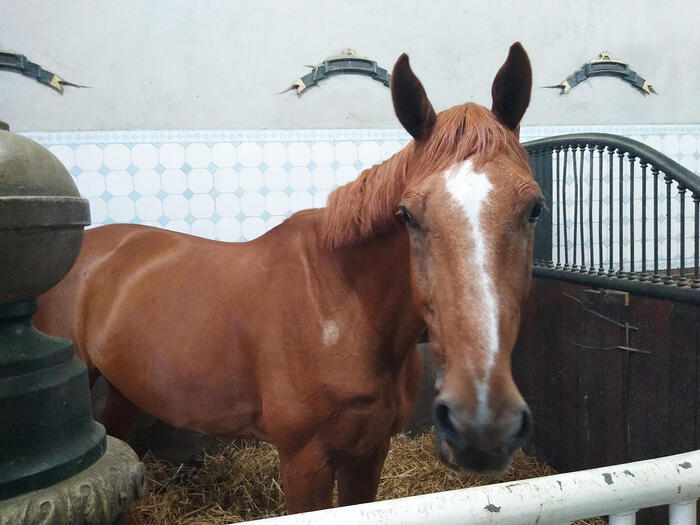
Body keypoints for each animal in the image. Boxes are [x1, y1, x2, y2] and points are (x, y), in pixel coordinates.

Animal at [35, 42, 541, 513]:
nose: (482, 424)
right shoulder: (305, 459)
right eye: (407, 215)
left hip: (125, 387)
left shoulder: (369, 452)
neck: (343, 308)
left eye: (535, 208)